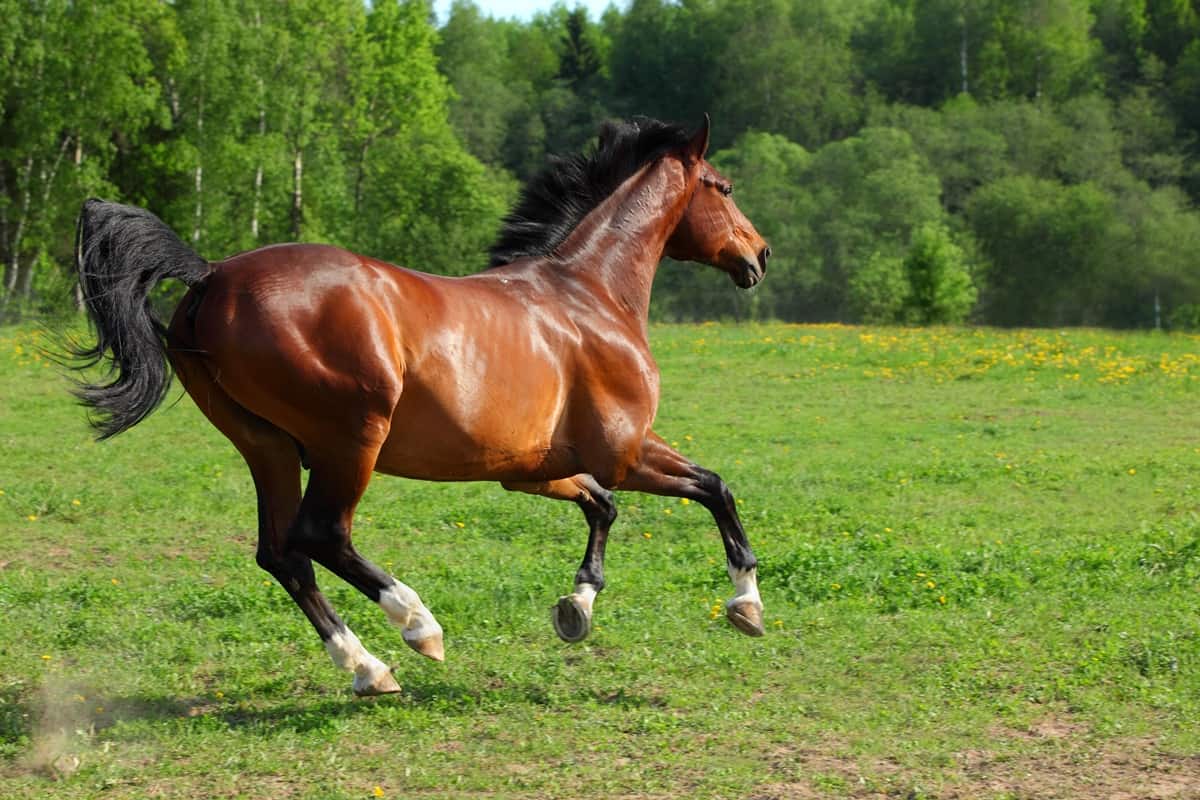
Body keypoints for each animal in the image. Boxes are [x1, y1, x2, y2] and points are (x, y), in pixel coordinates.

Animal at [70, 115, 771, 696]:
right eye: (724, 186)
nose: (759, 255)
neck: (587, 294)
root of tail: (210, 276)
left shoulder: (530, 470)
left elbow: (603, 507)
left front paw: (577, 608)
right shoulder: (623, 452)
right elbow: (715, 488)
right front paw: (746, 605)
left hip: (264, 446)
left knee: (282, 554)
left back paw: (368, 669)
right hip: (351, 439)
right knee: (321, 536)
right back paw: (417, 626)